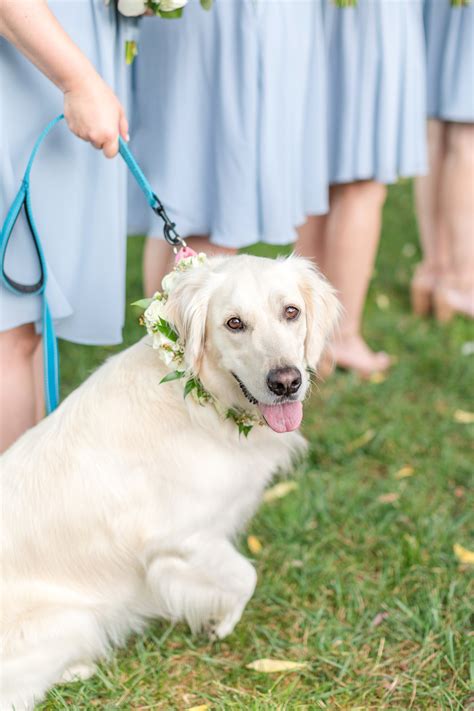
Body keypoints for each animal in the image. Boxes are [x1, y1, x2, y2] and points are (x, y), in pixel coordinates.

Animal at [0, 253, 340, 708]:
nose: (286, 382)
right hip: (71, 620)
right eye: (234, 323)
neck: (201, 402)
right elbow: (245, 577)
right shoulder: (178, 537)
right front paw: (221, 622)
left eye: (291, 312)